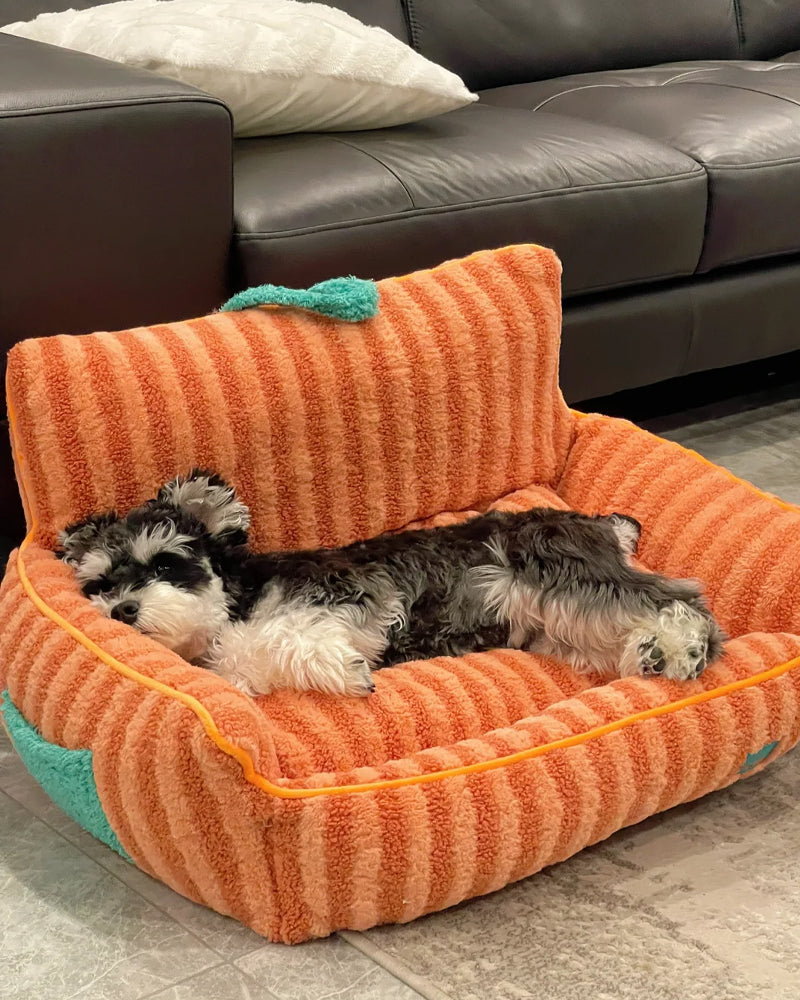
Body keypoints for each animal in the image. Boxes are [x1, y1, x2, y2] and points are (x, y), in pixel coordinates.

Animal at [59, 470, 728, 696]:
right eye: (99, 585)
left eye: (164, 564)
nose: (122, 611)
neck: (242, 595)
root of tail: (599, 522)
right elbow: (240, 662)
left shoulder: (352, 594)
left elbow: (278, 639)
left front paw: (341, 667)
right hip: (557, 627)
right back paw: (648, 651)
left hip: (563, 578)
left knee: (681, 599)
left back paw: (679, 646)